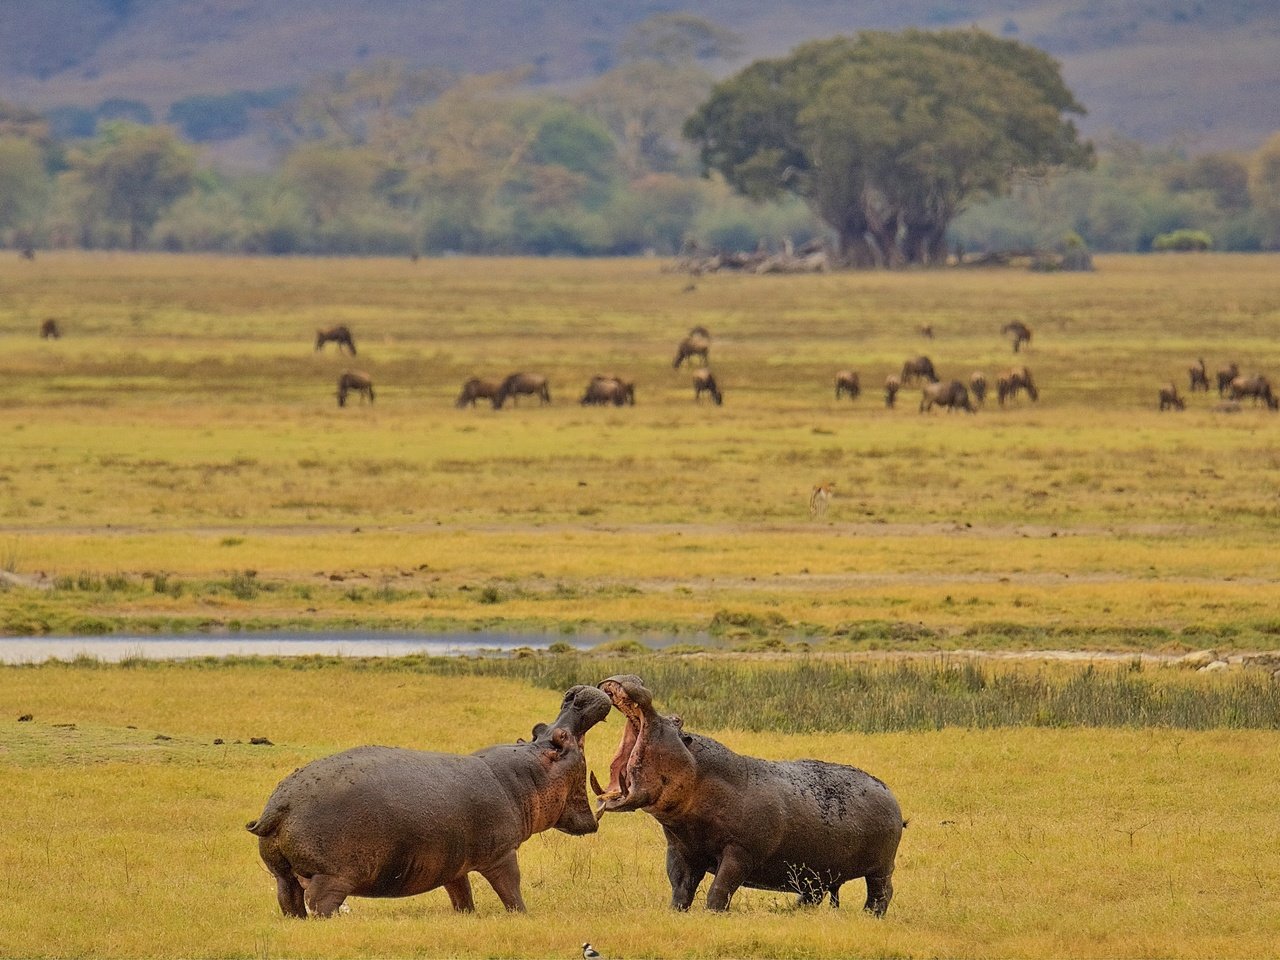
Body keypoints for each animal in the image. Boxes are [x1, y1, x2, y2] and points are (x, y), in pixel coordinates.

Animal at [248, 686, 614, 921]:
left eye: (540, 728)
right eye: (560, 739)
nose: (575, 694)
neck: (525, 777)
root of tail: (280, 805)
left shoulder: (454, 861)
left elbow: (461, 893)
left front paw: (467, 916)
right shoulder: (502, 854)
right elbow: (511, 888)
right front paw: (523, 916)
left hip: (281, 873)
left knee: (289, 900)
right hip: (333, 875)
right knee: (319, 902)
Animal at [593, 675, 906, 916]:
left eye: (677, 719)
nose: (637, 679)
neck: (700, 773)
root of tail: (889, 792)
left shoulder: (739, 852)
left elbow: (720, 889)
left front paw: (712, 915)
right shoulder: (681, 849)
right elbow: (680, 887)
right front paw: (676, 913)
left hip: (880, 867)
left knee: (882, 892)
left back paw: (870, 916)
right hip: (815, 869)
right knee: (813, 895)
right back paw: (793, 912)